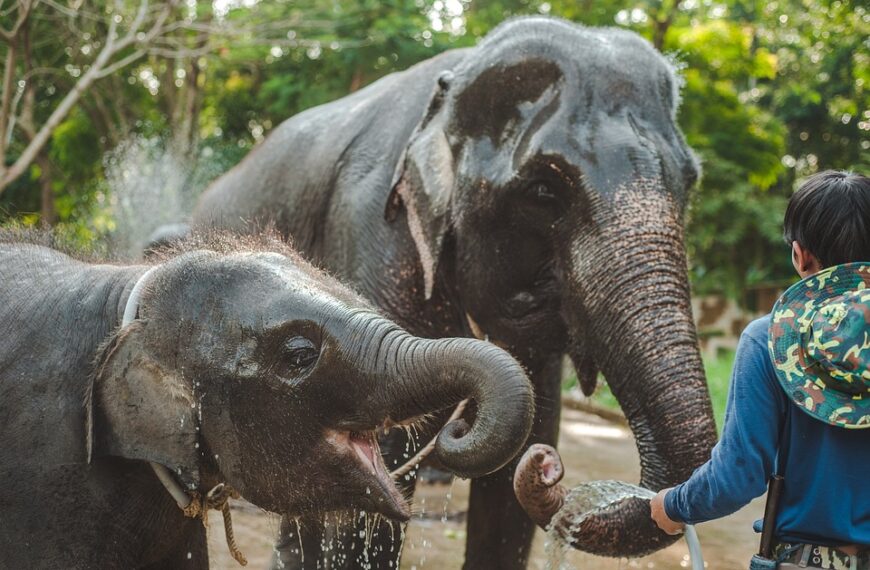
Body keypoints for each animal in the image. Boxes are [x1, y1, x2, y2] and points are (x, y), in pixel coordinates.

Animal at [194, 15, 720, 564]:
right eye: (543, 191)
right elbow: (371, 488)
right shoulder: (372, 231)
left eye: (689, 182)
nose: (549, 468)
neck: (456, 78)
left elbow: (510, 489)